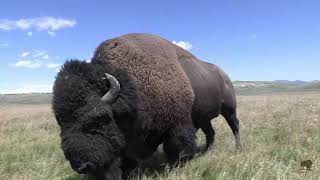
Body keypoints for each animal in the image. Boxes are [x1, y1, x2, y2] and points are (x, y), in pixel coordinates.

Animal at [52, 33, 241, 179]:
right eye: (60, 122)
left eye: (98, 119)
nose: (81, 166)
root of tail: (224, 74)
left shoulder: (177, 126)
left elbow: (178, 149)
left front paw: (176, 168)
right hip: (203, 118)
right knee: (211, 133)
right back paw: (207, 152)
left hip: (229, 109)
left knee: (235, 126)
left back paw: (238, 149)